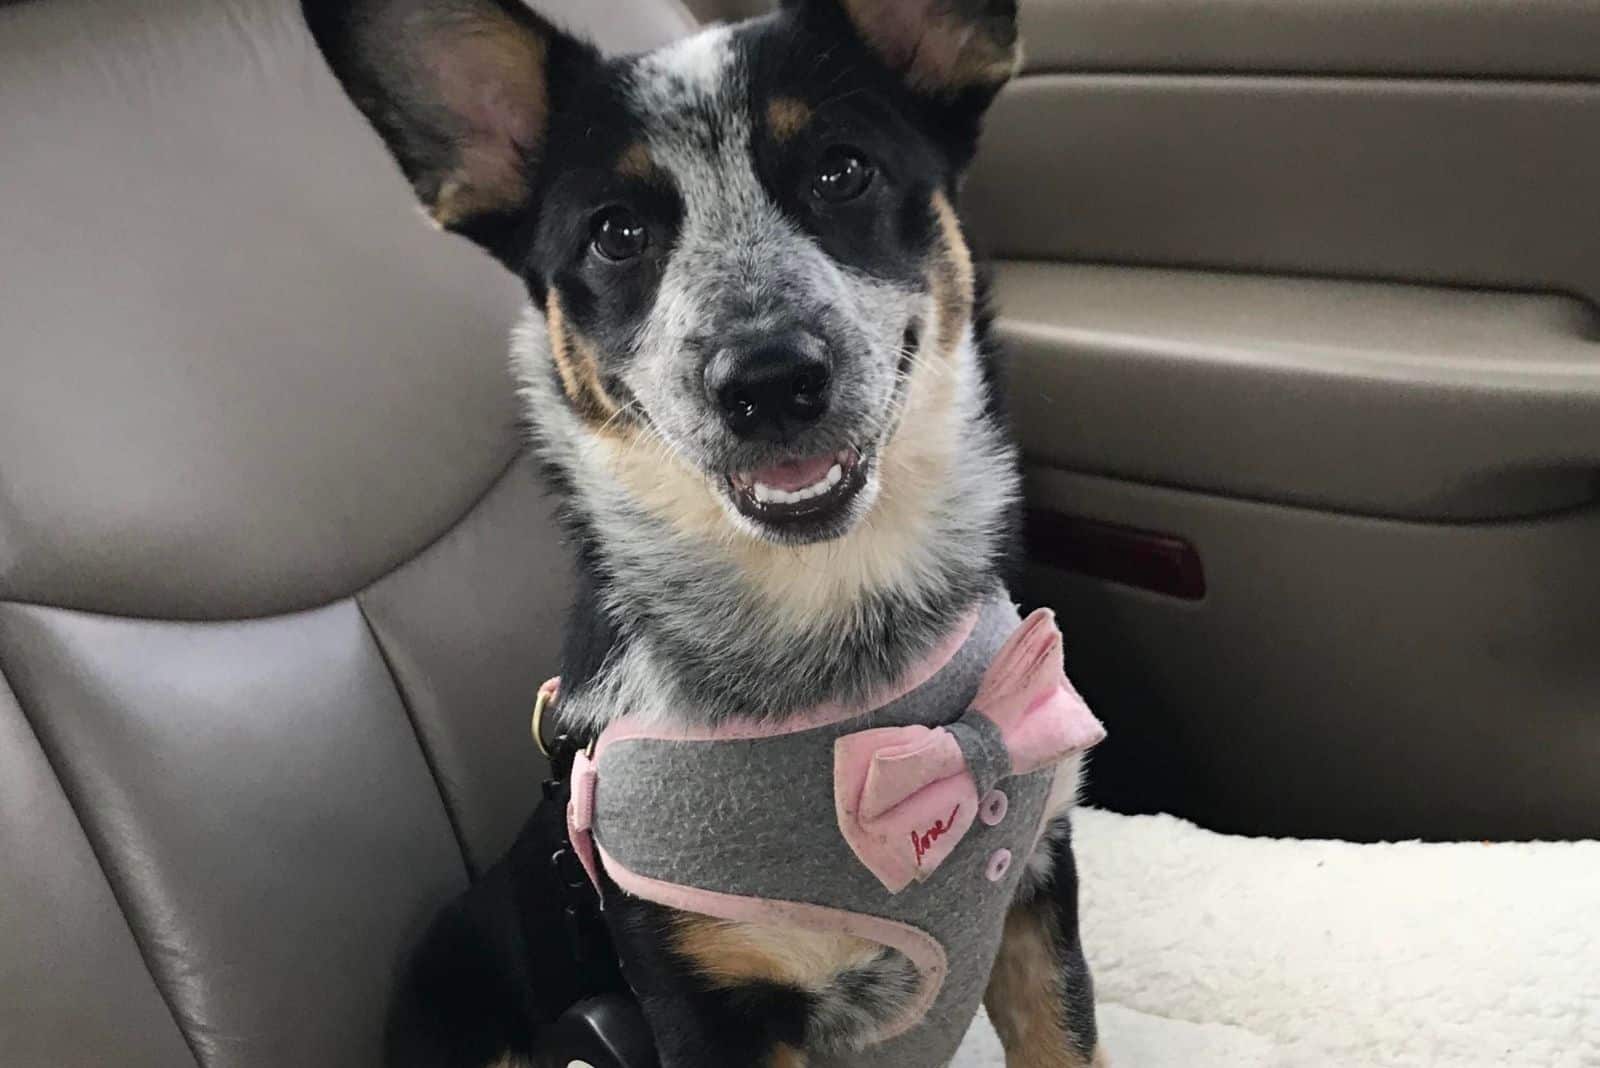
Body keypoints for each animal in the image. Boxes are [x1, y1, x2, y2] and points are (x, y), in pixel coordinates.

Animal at [302, 2, 1100, 1068]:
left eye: (843, 171)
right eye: (616, 232)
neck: (845, 660)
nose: (768, 380)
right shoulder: (704, 997)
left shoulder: (1039, 894)